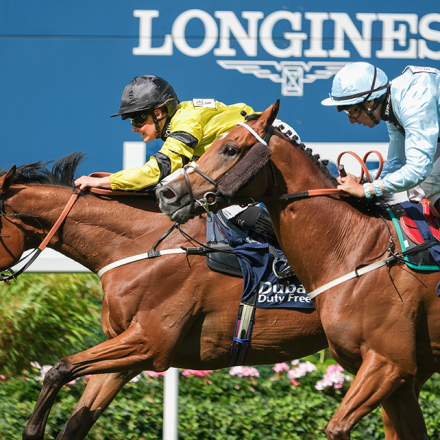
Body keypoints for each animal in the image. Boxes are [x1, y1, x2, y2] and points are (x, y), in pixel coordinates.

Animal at [0, 153, 328, 440]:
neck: (139, 245)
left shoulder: (151, 343)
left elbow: (60, 369)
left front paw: (33, 431)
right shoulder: (126, 354)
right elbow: (75, 421)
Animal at [156, 102, 440, 440]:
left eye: (230, 148)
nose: (167, 194)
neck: (355, 250)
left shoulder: (391, 363)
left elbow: (337, 427)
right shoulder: (402, 377)